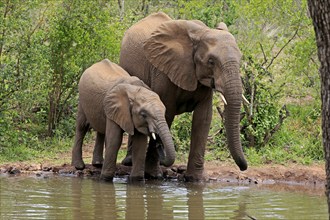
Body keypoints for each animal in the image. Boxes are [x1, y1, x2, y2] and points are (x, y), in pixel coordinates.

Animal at [120, 12, 246, 181]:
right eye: (211, 61)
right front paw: (154, 175)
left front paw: (196, 179)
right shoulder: (163, 71)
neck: (201, 33)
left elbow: (203, 119)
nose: (243, 167)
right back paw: (129, 162)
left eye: (240, 59)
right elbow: (166, 115)